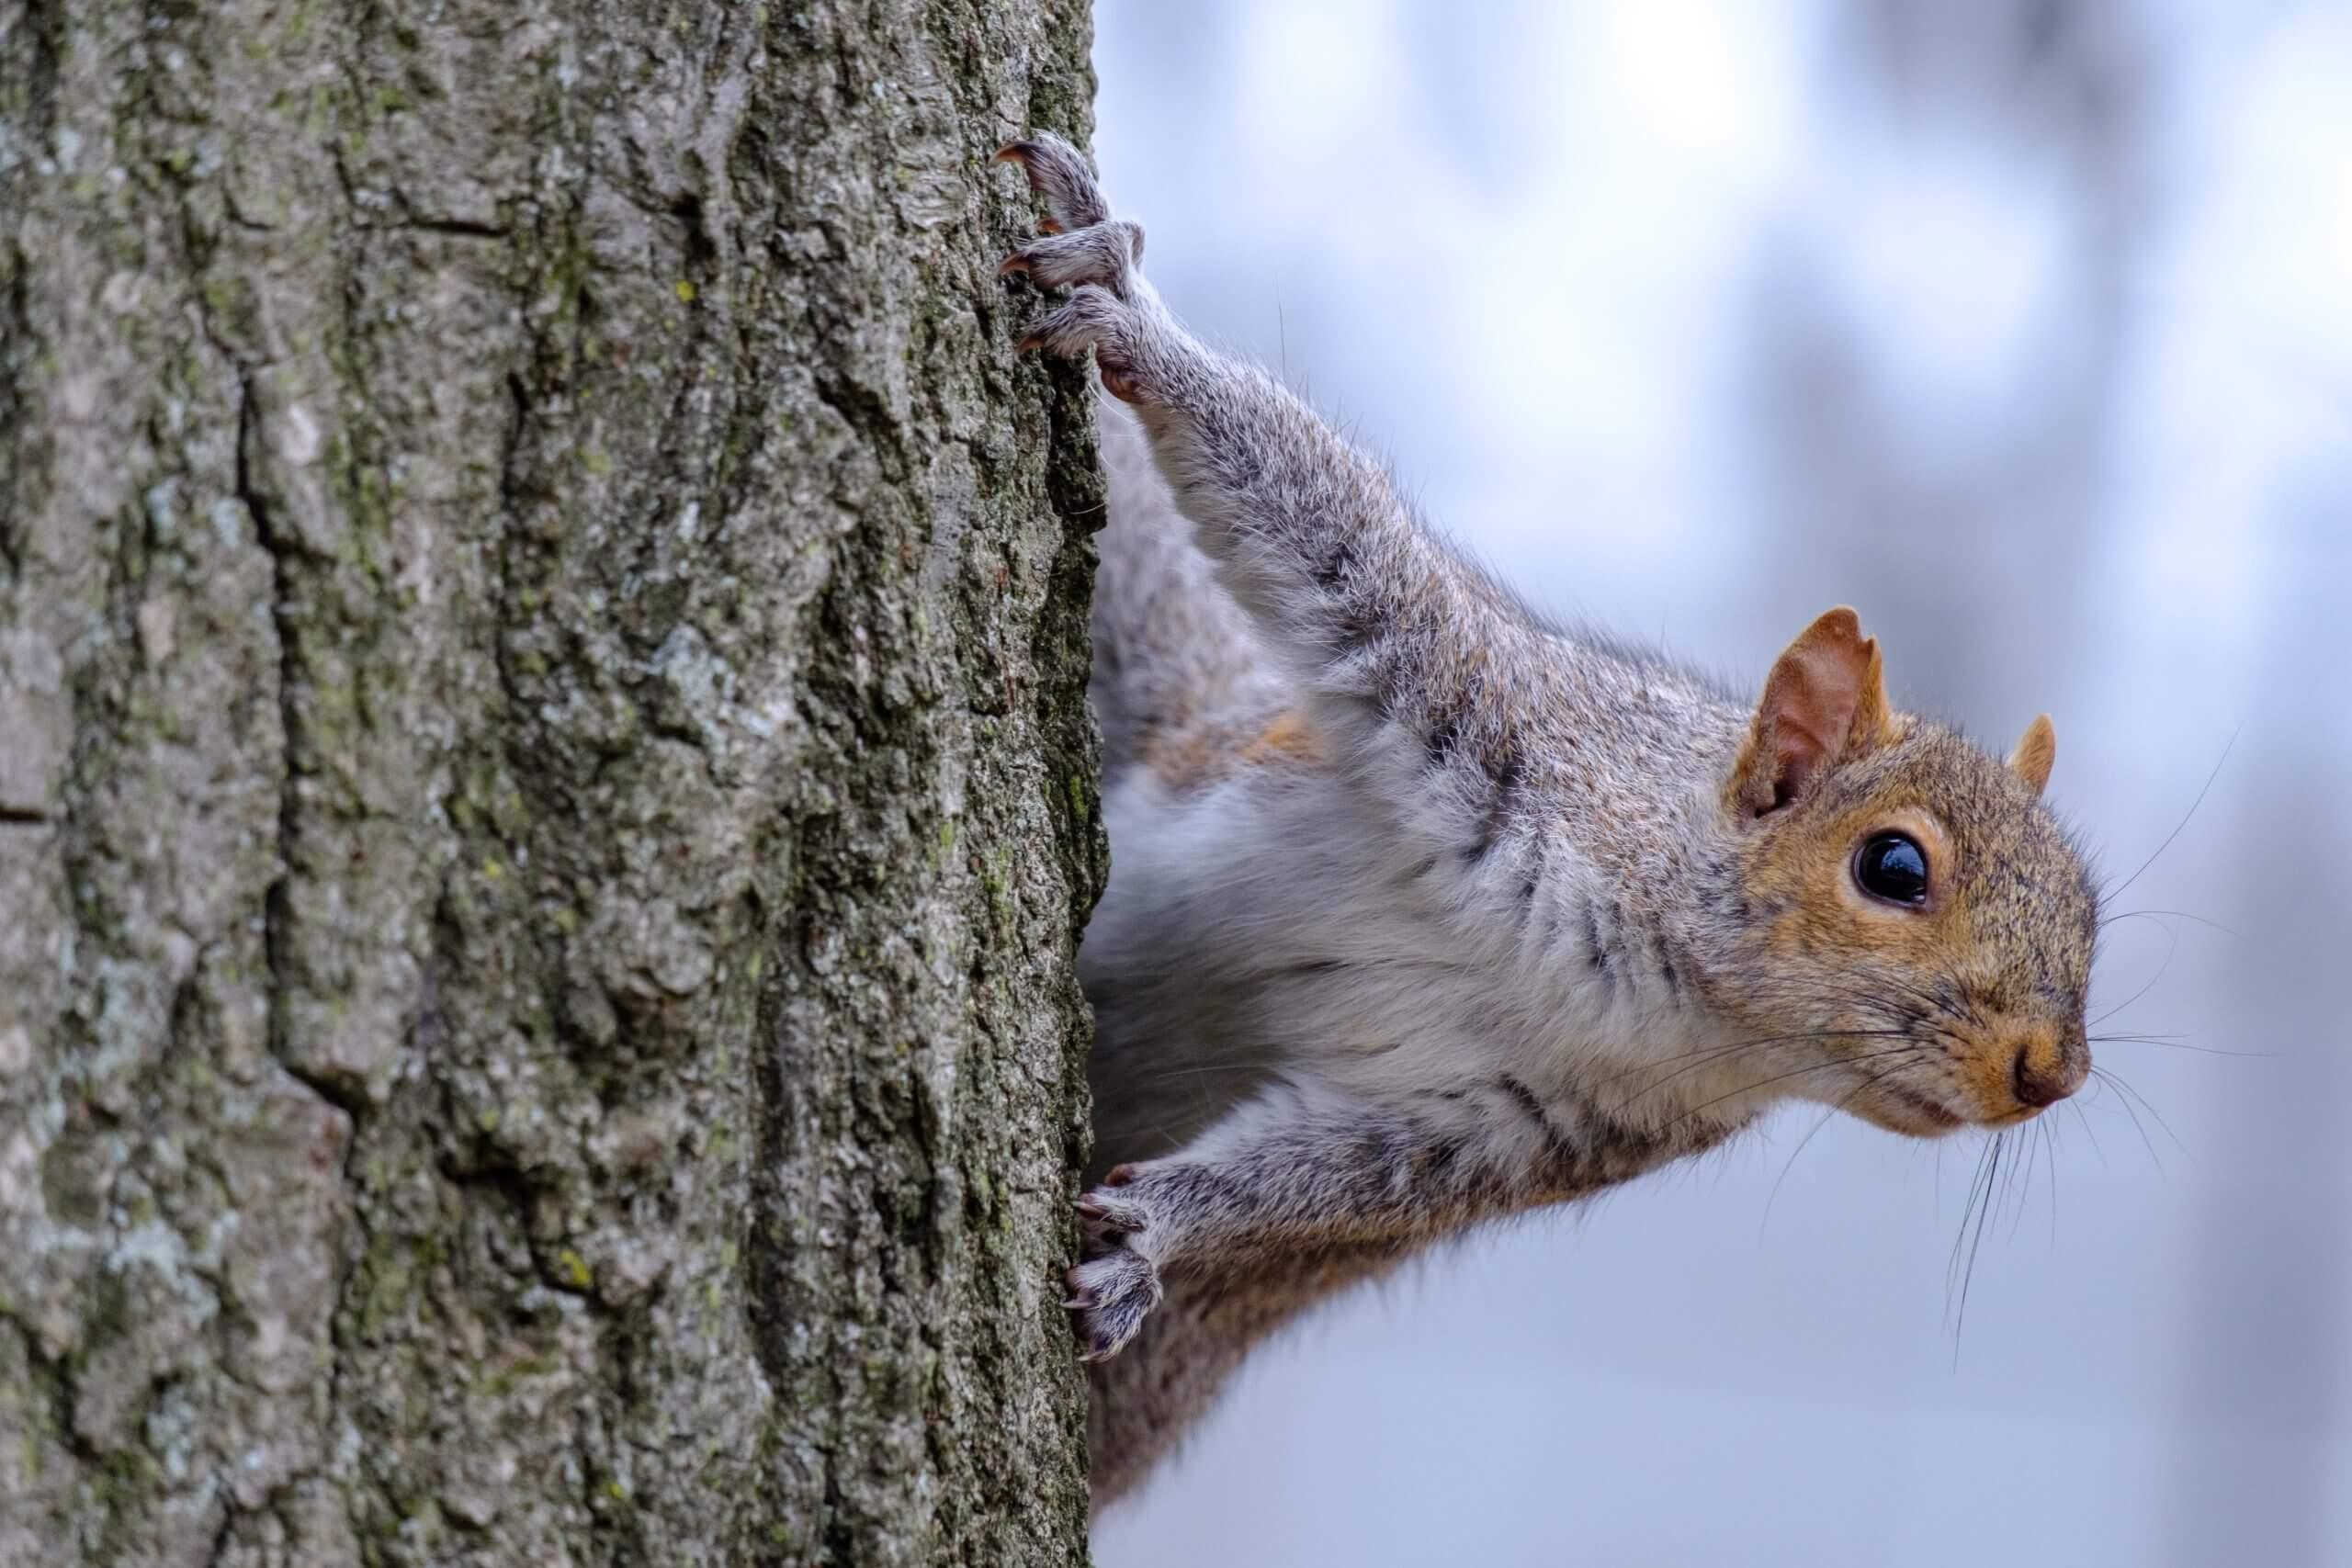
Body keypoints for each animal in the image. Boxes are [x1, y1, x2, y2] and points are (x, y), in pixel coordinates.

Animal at [988, 131, 2098, 1504]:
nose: (2050, 1074)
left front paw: (1154, 1232)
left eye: (2092, 913)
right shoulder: (1484, 709)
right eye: (1893, 866)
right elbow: (1314, 510)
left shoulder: (1526, 1128)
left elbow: (1321, 1186)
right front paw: (1130, 313)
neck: (1655, 990)